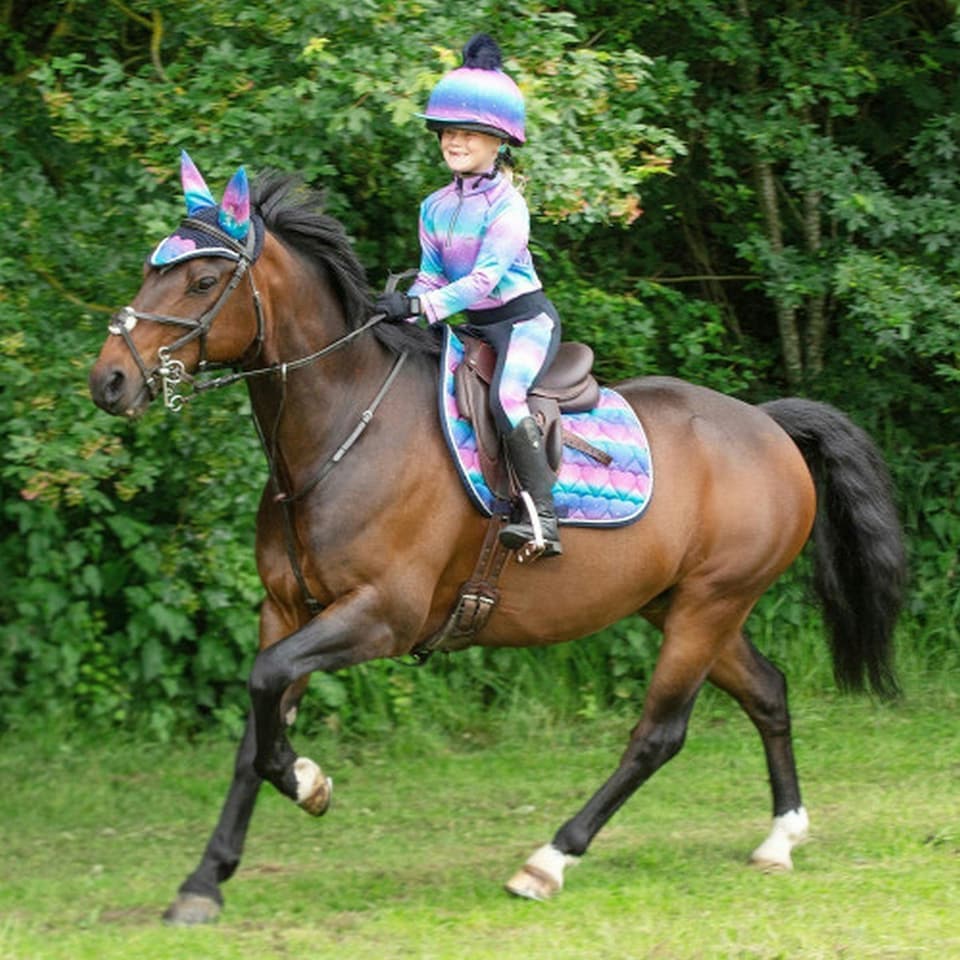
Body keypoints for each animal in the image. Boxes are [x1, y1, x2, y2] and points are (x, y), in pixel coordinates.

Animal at [88, 161, 905, 925]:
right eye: (150, 269)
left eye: (201, 281)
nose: (110, 381)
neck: (341, 428)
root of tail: (768, 424)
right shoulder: (288, 610)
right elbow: (255, 730)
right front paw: (207, 879)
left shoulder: (381, 616)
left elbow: (265, 694)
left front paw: (309, 783)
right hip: (684, 606)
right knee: (767, 691)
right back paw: (780, 837)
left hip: (711, 603)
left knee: (659, 733)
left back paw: (549, 860)